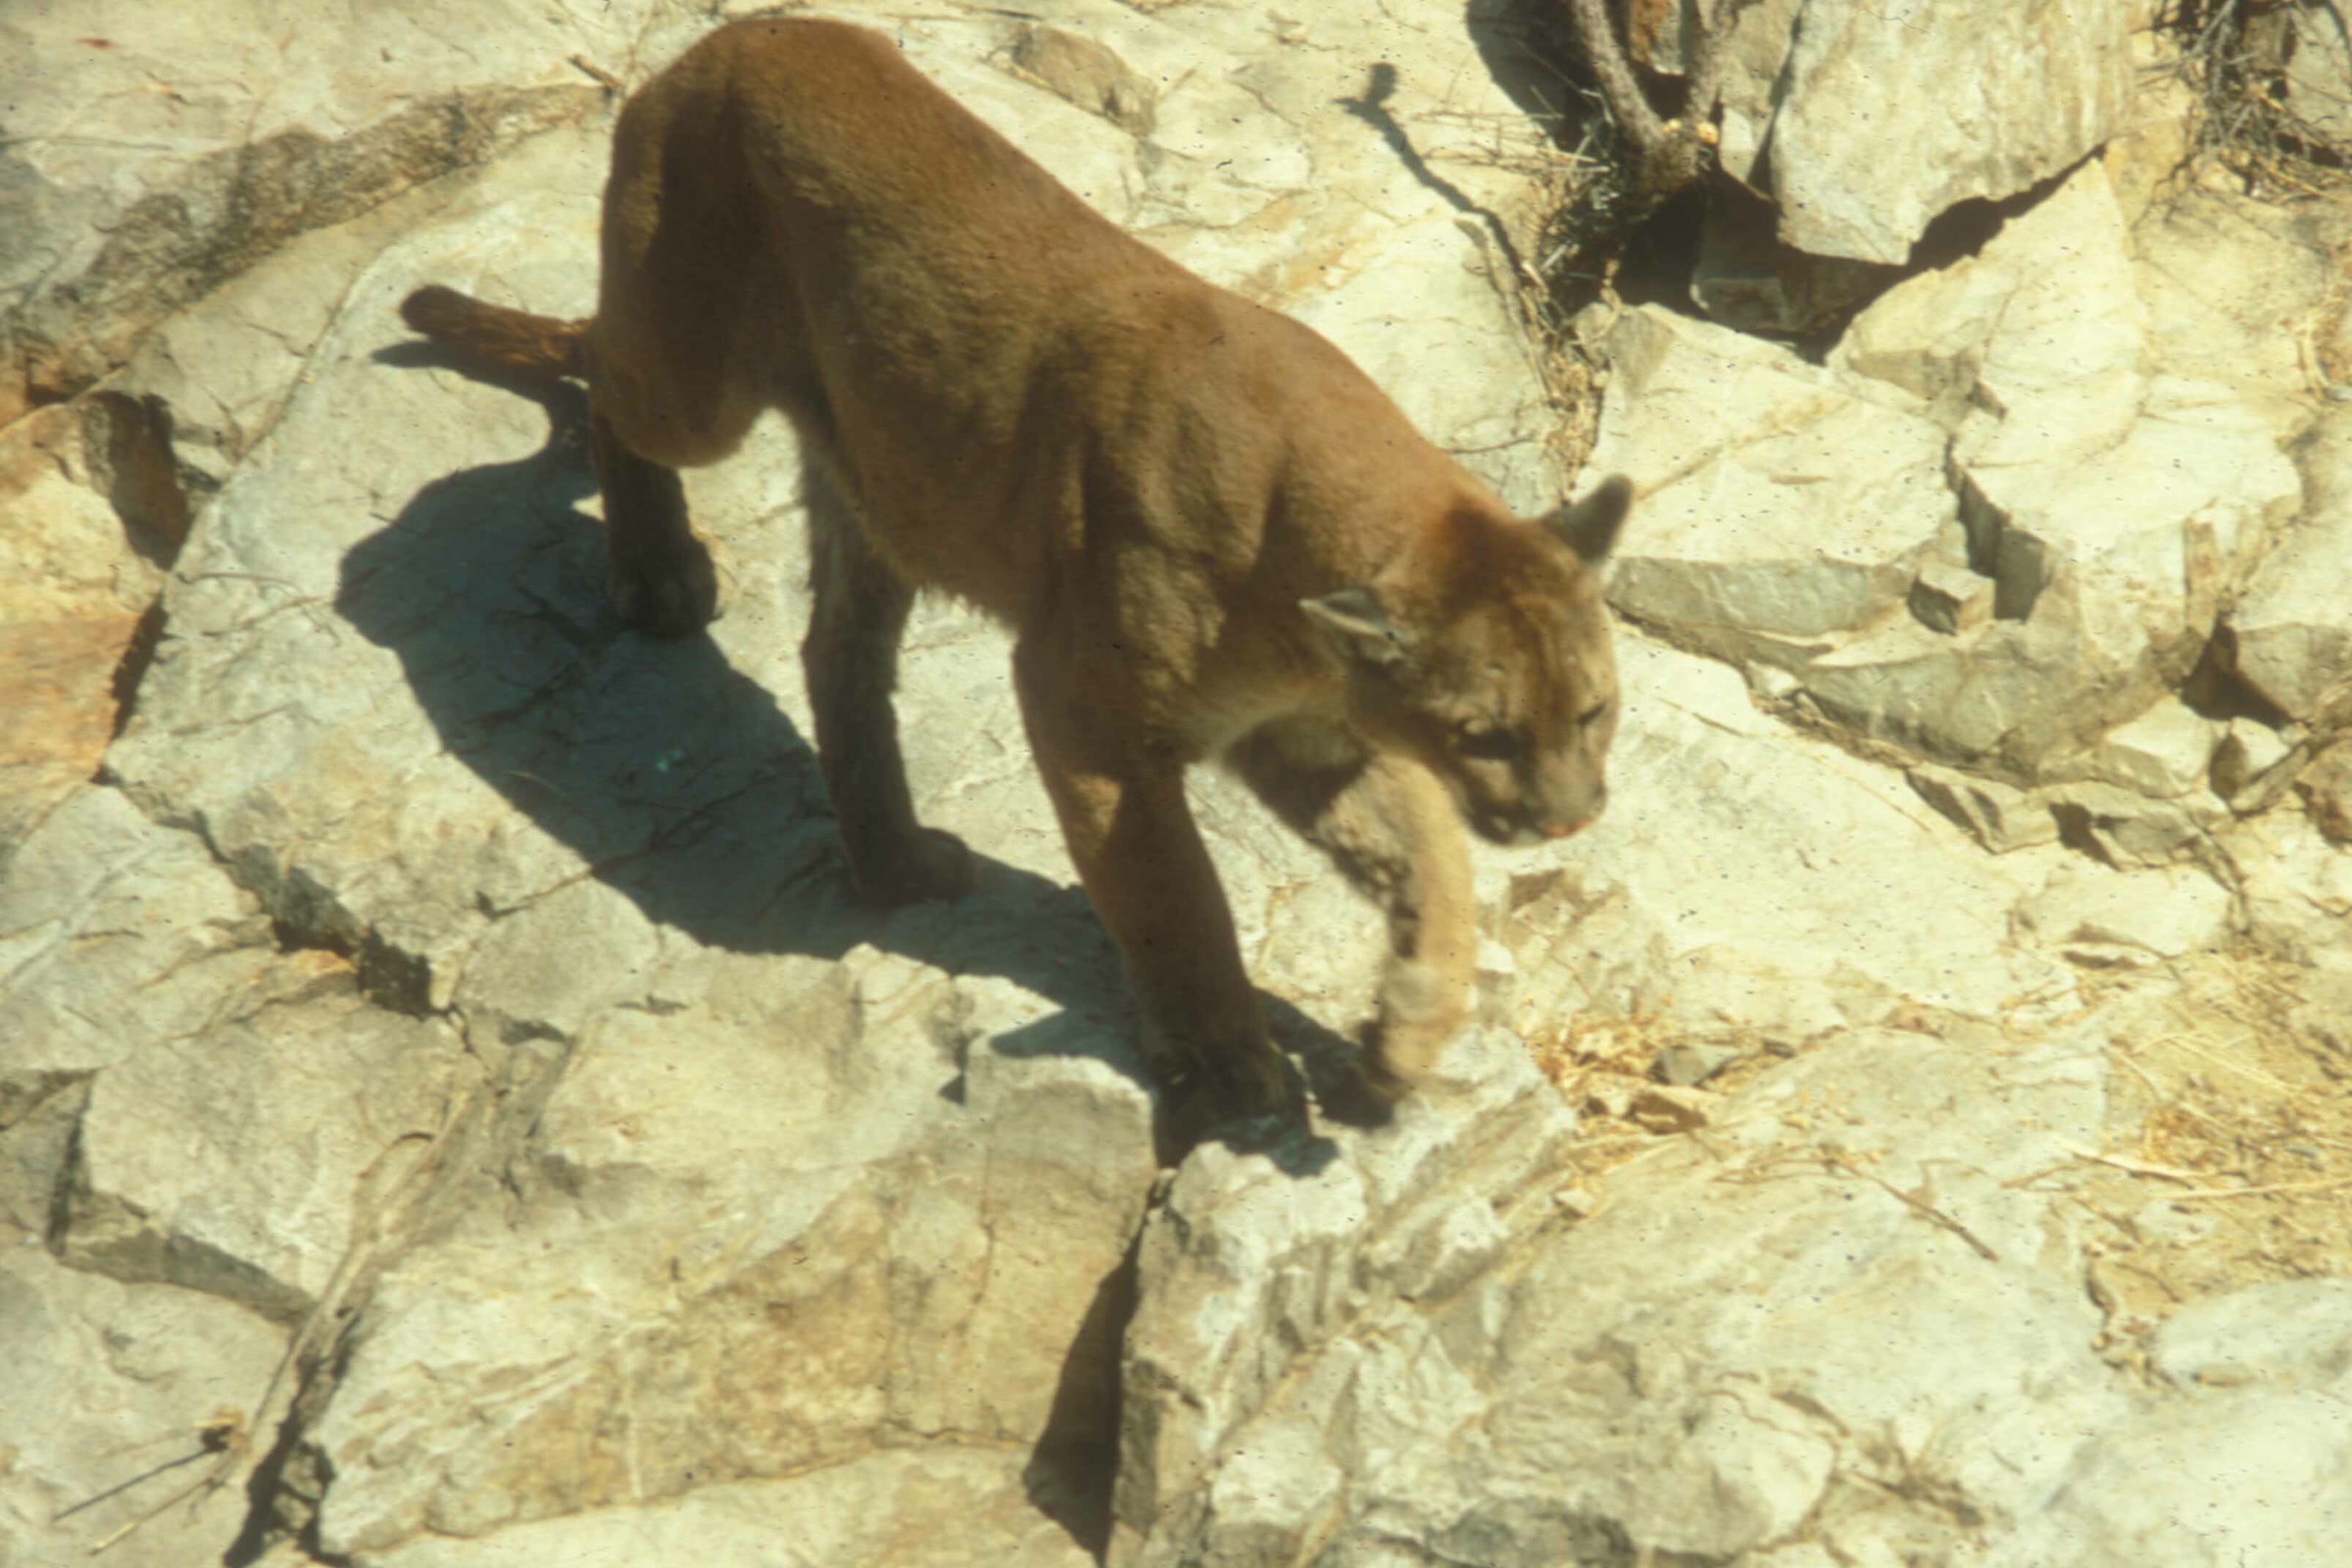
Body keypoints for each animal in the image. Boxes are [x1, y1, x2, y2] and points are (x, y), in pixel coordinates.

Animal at [399, 16, 1631, 1128]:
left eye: (1594, 712)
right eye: (1485, 735)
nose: (1571, 821)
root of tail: (718, 44)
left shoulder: (1301, 736)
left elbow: (1433, 865)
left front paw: (1403, 1036)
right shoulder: (1086, 708)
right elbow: (1173, 891)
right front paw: (1229, 1056)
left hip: (879, 486)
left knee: (834, 650)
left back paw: (895, 861)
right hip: (694, 379)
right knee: (597, 377)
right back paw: (655, 569)